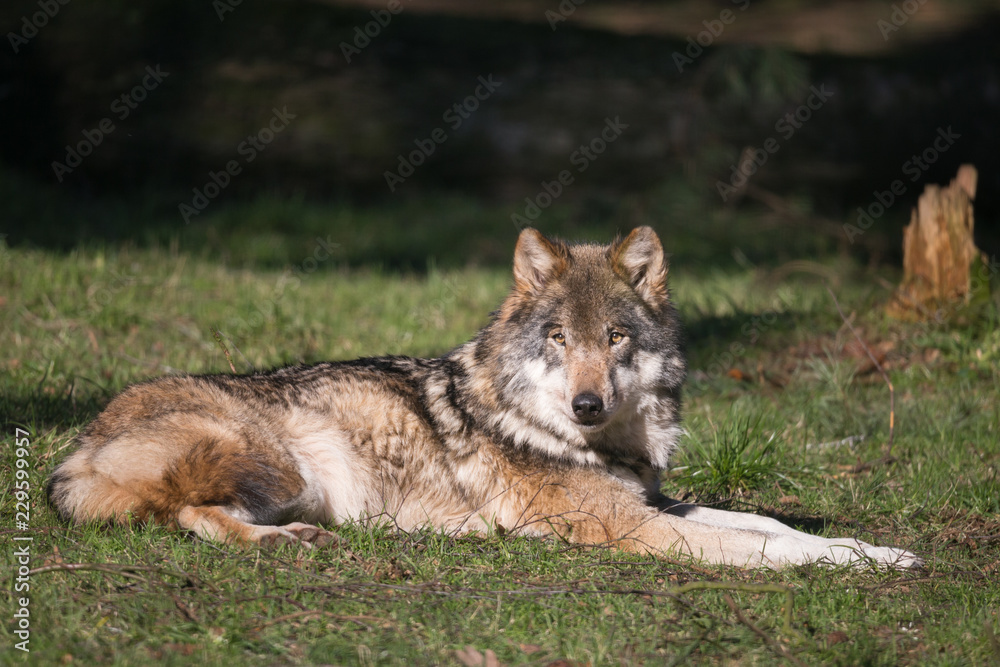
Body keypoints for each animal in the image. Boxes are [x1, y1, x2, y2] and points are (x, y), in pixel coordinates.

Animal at [48, 227, 920, 569]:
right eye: (558, 339)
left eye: (615, 338)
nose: (587, 405)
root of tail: (78, 444)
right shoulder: (633, 526)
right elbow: (774, 548)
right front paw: (854, 564)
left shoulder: (651, 502)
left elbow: (775, 523)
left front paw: (881, 550)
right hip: (282, 467)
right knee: (190, 516)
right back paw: (289, 541)